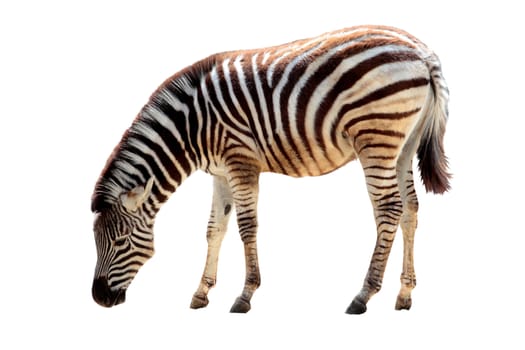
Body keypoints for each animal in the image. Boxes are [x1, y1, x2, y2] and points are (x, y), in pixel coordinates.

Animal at [91, 25, 450, 314]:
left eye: (121, 242)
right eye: (95, 242)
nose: (99, 298)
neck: (191, 127)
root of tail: (423, 52)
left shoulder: (240, 161)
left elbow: (246, 227)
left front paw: (244, 295)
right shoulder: (220, 173)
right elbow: (214, 229)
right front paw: (201, 293)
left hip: (376, 138)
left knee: (389, 209)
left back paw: (363, 295)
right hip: (403, 145)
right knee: (410, 209)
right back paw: (404, 294)